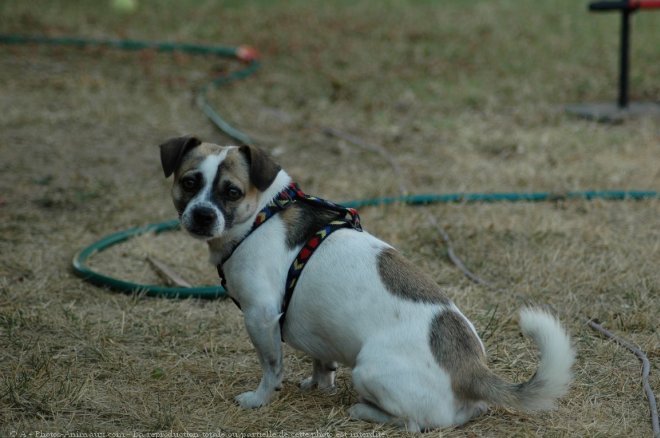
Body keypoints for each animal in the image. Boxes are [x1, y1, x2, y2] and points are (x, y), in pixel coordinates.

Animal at [159, 137, 572, 432]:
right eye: (189, 183)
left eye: (231, 192)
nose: (201, 215)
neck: (262, 214)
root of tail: (471, 370)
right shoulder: (315, 332)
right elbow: (321, 361)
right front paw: (318, 384)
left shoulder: (260, 317)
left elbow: (271, 368)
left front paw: (260, 399)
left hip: (367, 371)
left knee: (413, 423)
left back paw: (364, 410)